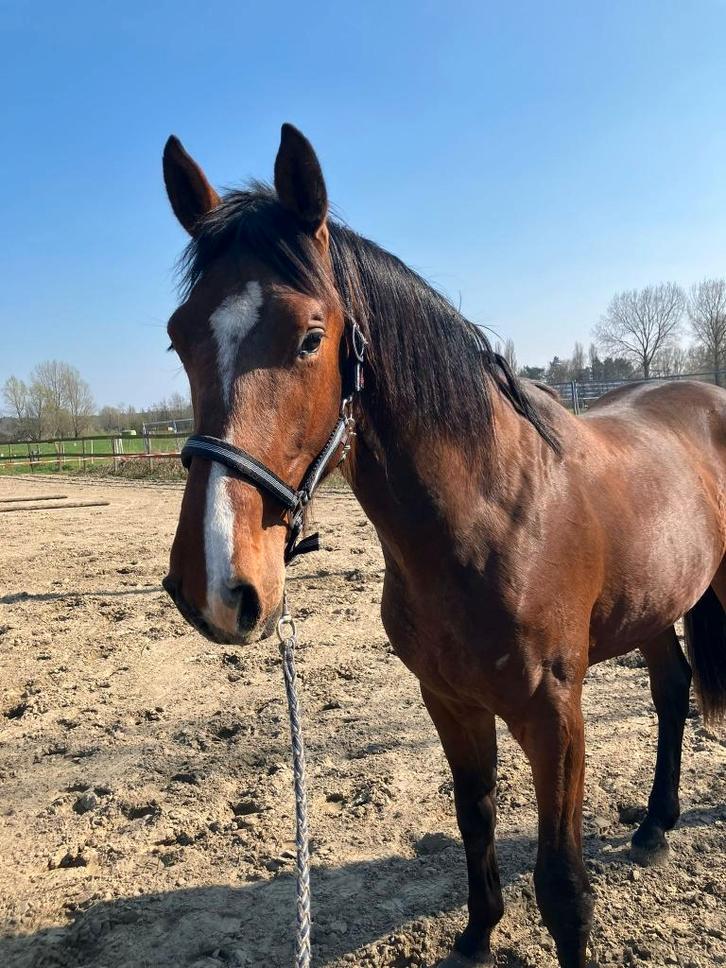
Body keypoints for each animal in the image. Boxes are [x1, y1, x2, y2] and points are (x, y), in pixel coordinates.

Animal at [160, 124, 726, 968]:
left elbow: (563, 887)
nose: (215, 583)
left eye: (311, 337)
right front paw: (476, 934)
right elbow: (474, 817)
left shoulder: (556, 717)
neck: (494, 517)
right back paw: (655, 826)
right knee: (672, 688)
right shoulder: (448, 700)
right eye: (178, 338)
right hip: (654, 605)